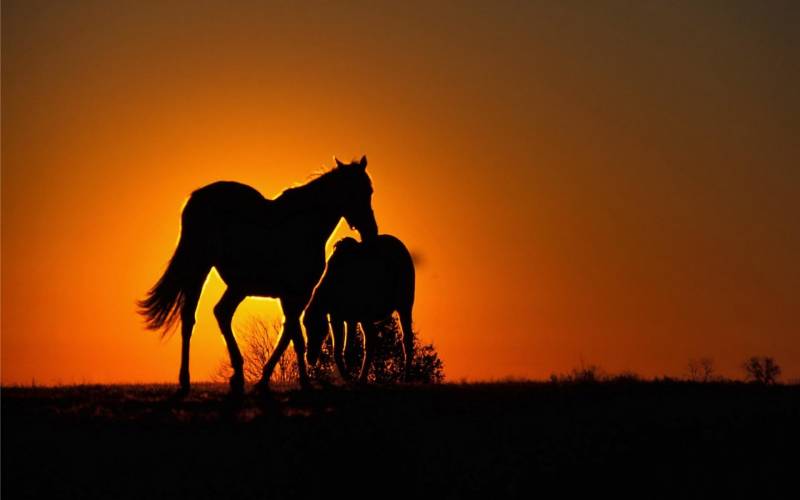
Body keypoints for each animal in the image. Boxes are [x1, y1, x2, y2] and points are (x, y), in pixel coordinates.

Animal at [138, 156, 378, 394]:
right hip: (204, 269)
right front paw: (302, 382)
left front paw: (266, 379)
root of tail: (196, 198)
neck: (304, 226)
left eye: (370, 190)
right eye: (356, 191)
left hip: (235, 284)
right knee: (196, 316)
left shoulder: (292, 296)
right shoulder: (297, 294)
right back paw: (192, 379)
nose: (371, 232)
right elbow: (295, 337)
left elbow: (288, 334)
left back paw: (232, 376)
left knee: (215, 313)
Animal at [304, 234, 416, 382]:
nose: (309, 357)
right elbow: (341, 351)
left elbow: (359, 346)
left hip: (404, 304)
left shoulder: (360, 316)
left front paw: (355, 377)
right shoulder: (340, 317)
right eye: (305, 327)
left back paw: (404, 377)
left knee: (405, 338)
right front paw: (347, 376)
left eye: (317, 328)